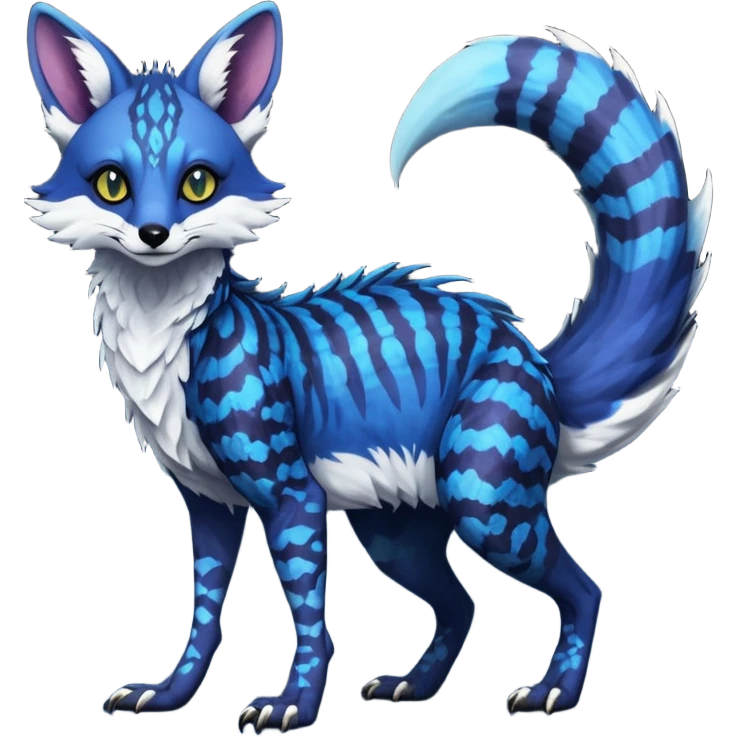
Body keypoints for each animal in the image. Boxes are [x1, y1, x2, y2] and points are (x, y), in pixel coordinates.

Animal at [25, 1, 711, 732]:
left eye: (198, 182)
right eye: (112, 184)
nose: (153, 235)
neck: (165, 341)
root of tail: (537, 361)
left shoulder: (291, 492)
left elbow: (310, 623)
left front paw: (293, 707)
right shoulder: (206, 501)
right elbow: (204, 619)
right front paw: (169, 696)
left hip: (483, 498)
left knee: (584, 588)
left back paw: (553, 691)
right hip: (395, 531)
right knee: (463, 604)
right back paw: (416, 685)